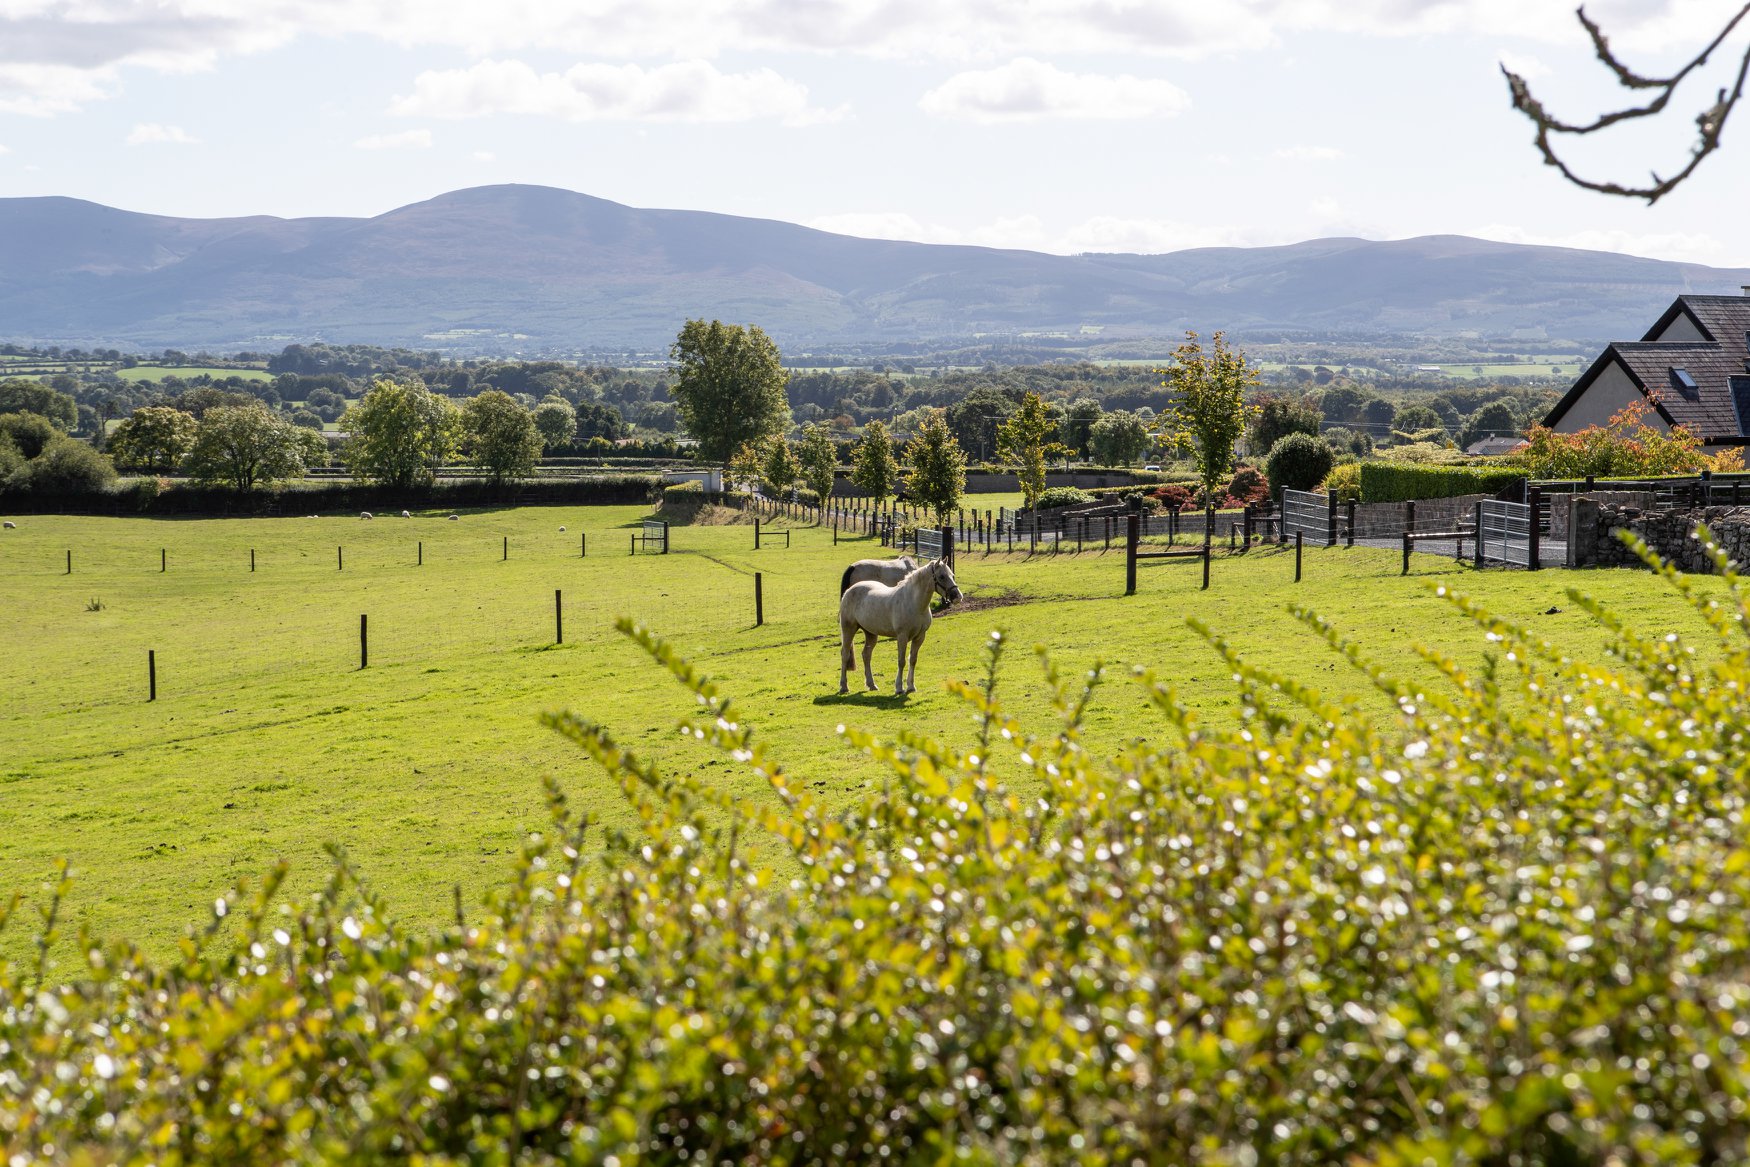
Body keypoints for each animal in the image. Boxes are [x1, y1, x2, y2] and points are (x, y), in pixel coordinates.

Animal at [840, 563, 966, 699]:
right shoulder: (902, 636)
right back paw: (843, 687)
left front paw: (911, 687)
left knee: (866, 655)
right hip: (849, 629)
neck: (913, 603)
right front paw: (899, 688)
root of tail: (849, 591)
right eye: (942, 576)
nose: (958, 597)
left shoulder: (920, 637)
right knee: (845, 654)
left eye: (952, 575)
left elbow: (913, 660)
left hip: (871, 633)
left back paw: (871, 685)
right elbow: (901, 661)